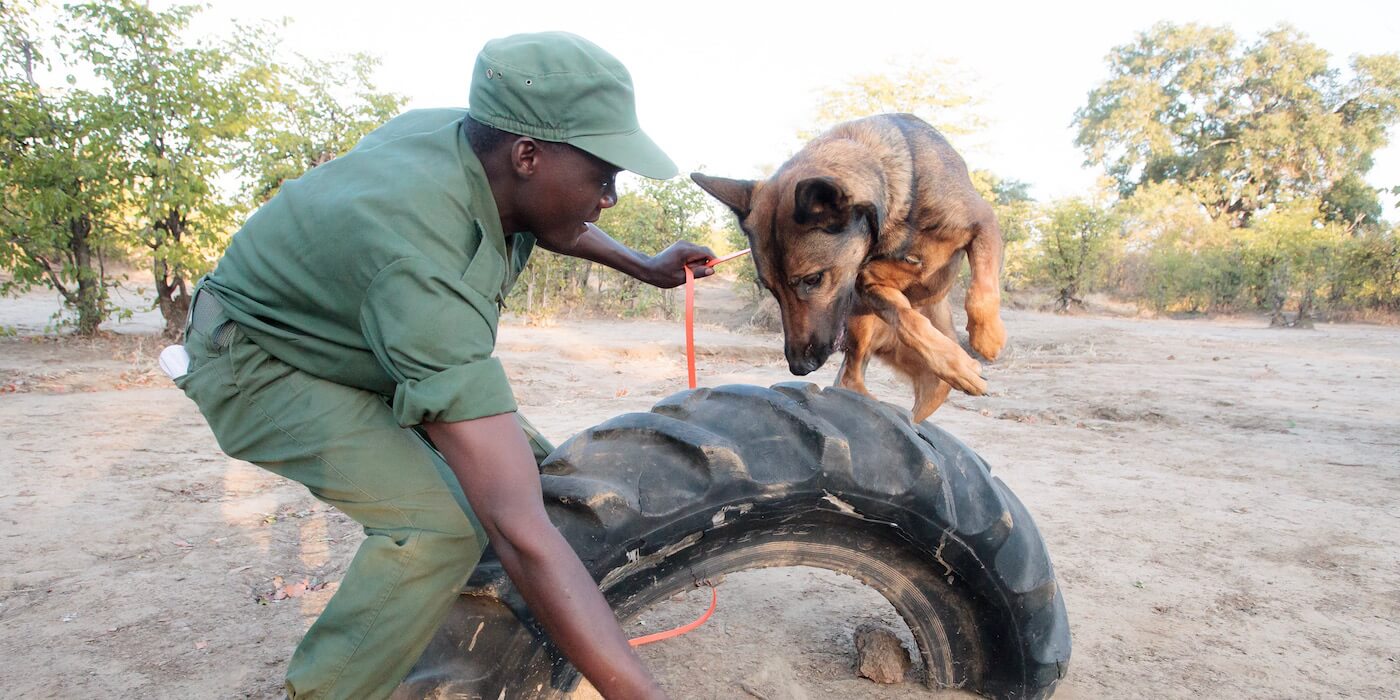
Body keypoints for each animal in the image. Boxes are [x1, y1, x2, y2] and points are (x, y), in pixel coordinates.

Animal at [691, 113, 1002, 420]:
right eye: (770, 289)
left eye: (813, 279)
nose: (799, 366)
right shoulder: (865, 285)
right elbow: (906, 319)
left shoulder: (984, 222)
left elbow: (981, 293)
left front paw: (987, 337)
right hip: (860, 323)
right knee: (850, 380)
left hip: (930, 381)